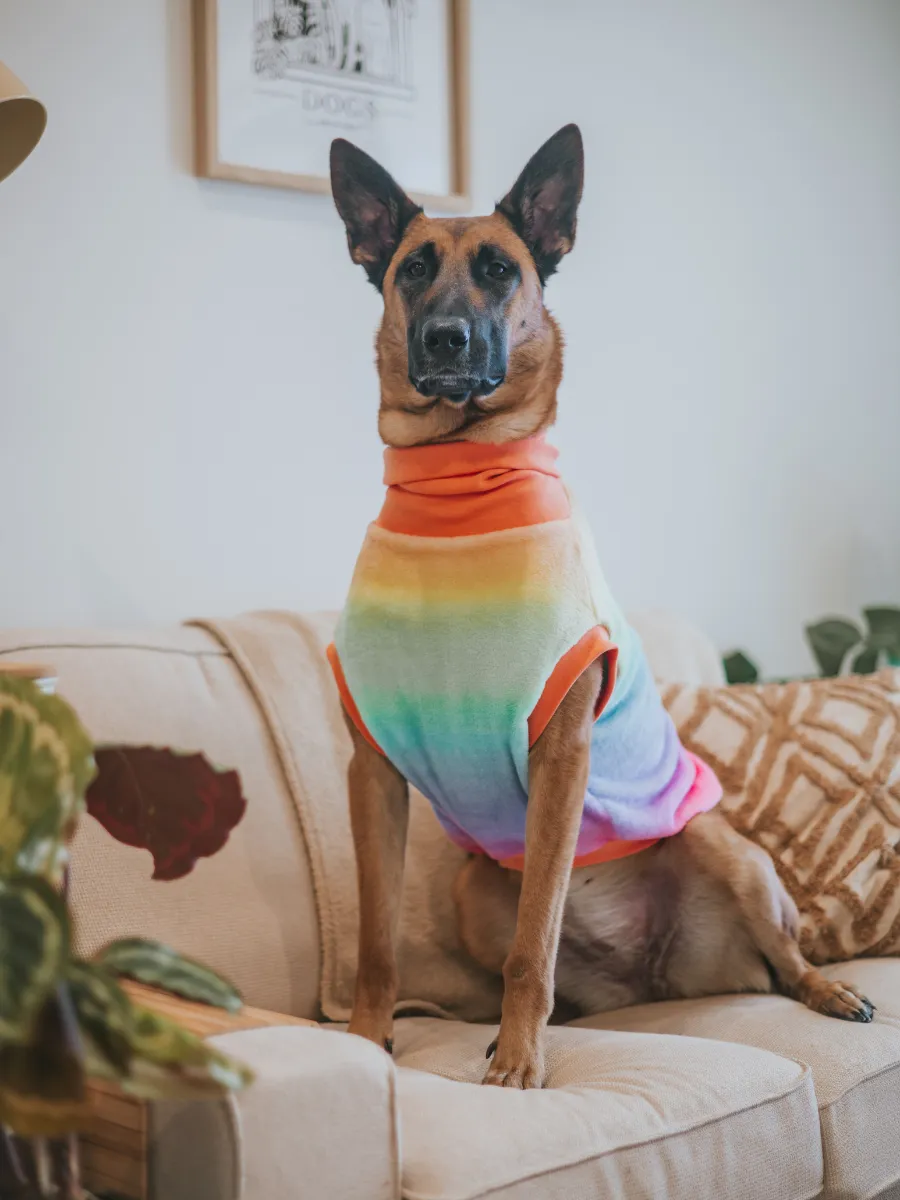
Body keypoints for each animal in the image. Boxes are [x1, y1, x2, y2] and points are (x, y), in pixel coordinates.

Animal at [326, 121, 873, 1089]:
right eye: (413, 268)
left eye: (501, 270)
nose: (447, 340)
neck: (457, 489)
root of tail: (657, 976)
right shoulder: (373, 775)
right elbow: (379, 944)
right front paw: (365, 1042)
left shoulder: (562, 761)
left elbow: (532, 947)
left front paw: (517, 1065)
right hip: (472, 888)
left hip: (722, 845)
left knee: (788, 956)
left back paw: (830, 990)